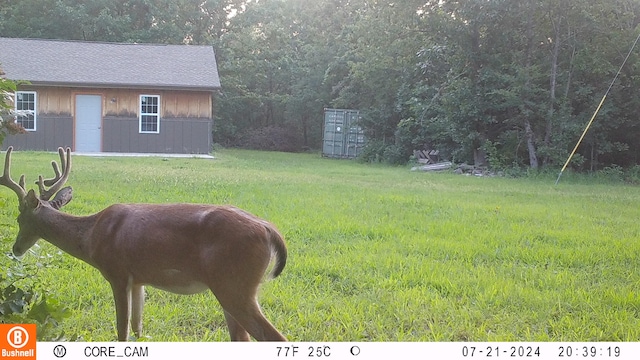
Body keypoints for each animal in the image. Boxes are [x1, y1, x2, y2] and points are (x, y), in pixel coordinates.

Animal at [0, 146, 288, 340]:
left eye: (18, 218)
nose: (15, 249)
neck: (92, 236)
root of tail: (268, 229)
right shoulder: (139, 280)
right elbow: (138, 329)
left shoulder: (117, 273)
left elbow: (122, 330)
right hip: (231, 290)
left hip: (234, 286)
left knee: (272, 337)